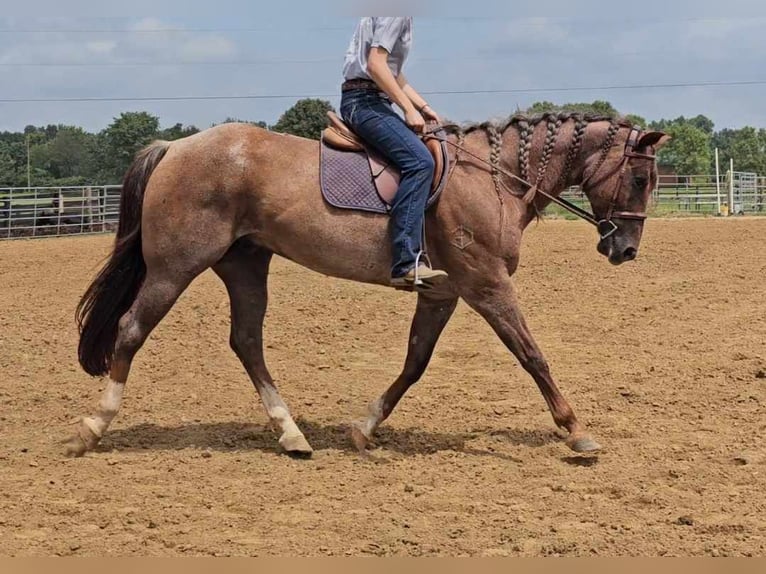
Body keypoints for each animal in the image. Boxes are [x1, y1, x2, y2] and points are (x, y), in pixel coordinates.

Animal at [63, 111, 668, 460]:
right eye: (641, 178)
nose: (626, 250)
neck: (492, 180)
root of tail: (174, 147)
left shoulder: (443, 292)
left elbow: (415, 363)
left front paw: (364, 426)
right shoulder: (487, 286)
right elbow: (532, 355)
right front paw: (576, 432)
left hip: (245, 265)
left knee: (247, 342)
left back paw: (292, 434)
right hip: (175, 266)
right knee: (131, 329)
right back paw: (93, 427)